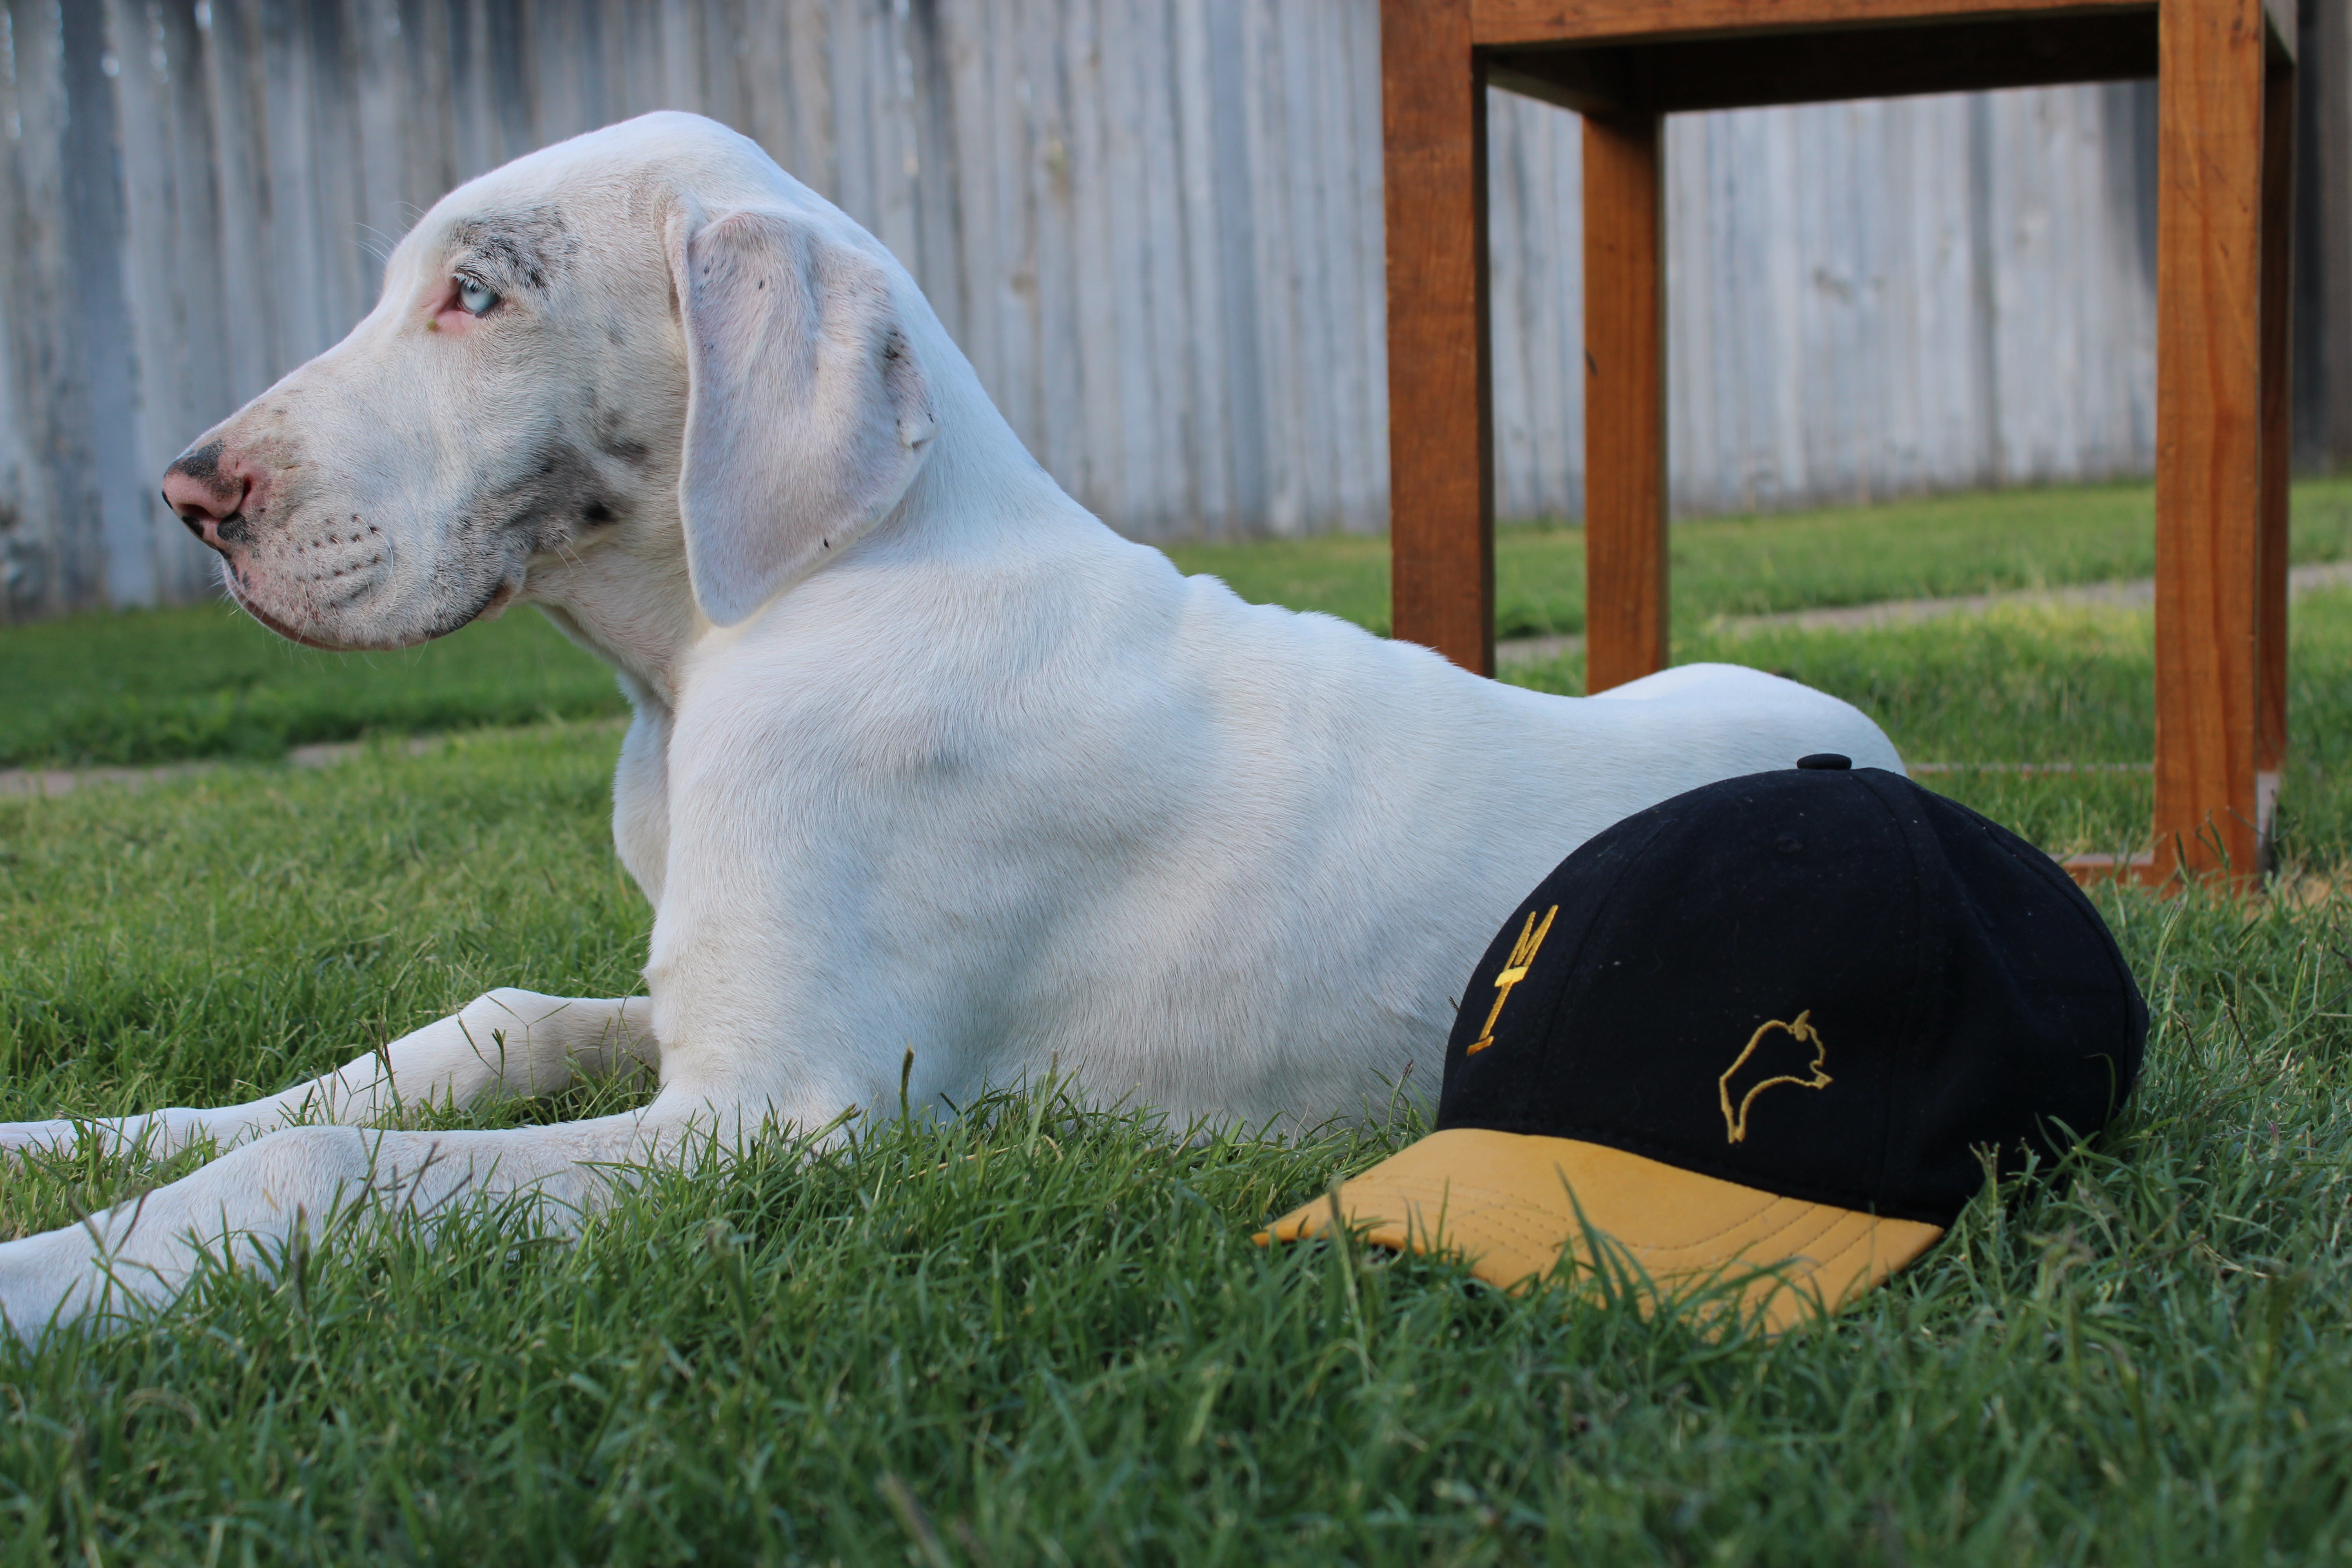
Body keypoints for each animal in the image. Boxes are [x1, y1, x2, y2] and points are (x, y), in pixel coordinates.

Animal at [0, 113, 1900, 1335]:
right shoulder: (680, 1027)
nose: (192, 497)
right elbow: (469, 1035)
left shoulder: (777, 1117)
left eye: (480, 295)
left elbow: (314, 1162)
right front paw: (50, 1146)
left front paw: (43, 1275)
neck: (772, 618)